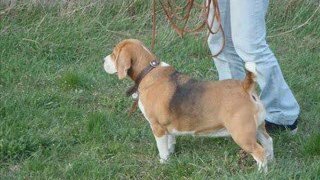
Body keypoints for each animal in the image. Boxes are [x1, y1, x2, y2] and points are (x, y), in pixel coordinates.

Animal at [104, 39, 274, 172]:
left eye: (114, 54)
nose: (103, 61)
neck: (149, 71)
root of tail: (245, 86)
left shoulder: (157, 127)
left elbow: (162, 149)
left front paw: (163, 163)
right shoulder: (168, 128)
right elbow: (170, 142)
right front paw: (171, 155)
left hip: (242, 134)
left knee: (259, 152)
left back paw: (261, 173)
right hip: (258, 128)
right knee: (268, 142)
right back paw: (271, 163)